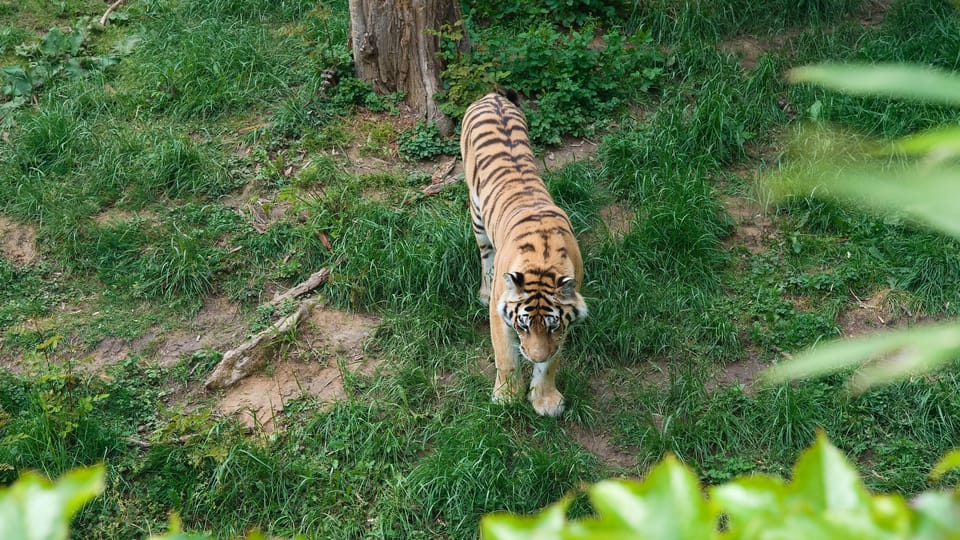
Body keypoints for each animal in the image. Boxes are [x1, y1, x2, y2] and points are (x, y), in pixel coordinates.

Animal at [460, 91, 587, 417]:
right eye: (523, 325)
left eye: (552, 325)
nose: (534, 357)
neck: (543, 262)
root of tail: (491, 96)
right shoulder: (499, 312)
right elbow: (505, 357)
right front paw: (506, 398)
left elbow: (552, 363)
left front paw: (545, 400)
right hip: (477, 213)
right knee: (485, 255)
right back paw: (483, 289)